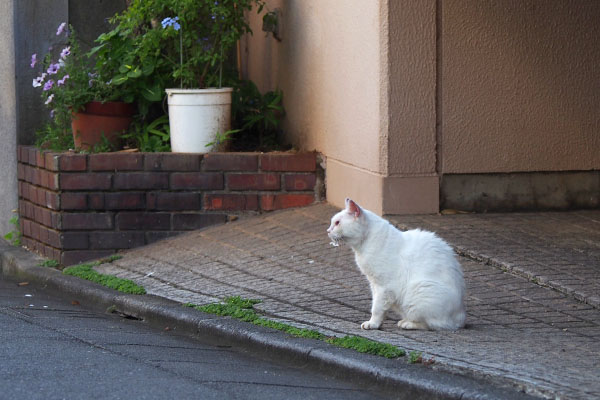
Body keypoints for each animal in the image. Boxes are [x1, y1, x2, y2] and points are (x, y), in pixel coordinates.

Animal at [328, 198, 464, 332]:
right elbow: (378, 307)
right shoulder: (374, 285)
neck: (362, 247)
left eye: (337, 223)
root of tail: (460, 318)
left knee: (433, 325)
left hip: (419, 290)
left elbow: (376, 308)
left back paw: (407, 324)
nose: (328, 231)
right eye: (332, 223)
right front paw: (378, 323)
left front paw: (372, 324)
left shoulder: (384, 287)